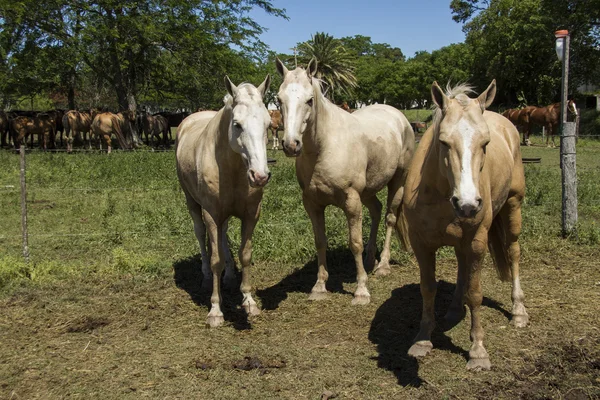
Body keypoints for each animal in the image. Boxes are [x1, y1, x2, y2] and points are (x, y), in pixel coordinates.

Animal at [176, 76, 272, 328]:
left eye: (269, 124)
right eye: (237, 124)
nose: (260, 176)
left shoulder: (251, 214)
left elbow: (244, 254)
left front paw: (249, 301)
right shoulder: (211, 213)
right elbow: (216, 259)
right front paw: (215, 311)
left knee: (223, 234)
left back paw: (228, 277)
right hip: (192, 203)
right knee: (201, 234)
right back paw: (206, 277)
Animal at [276, 58, 412, 304]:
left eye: (310, 100)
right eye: (278, 99)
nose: (291, 145)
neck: (325, 145)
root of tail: (399, 117)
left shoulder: (351, 201)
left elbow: (354, 243)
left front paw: (361, 290)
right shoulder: (312, 204)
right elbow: (320, 241)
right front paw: (319, 287)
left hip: (398, 181)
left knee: (389, 217)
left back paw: (383, 265)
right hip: (369, 190)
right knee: (376, 211)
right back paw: (370, 259)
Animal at [404, 81, 528, 372]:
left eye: (485, 142)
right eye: (443, 142)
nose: (468, 204)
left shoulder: (476, 242)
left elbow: (475, 293)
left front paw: (478, 351)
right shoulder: (421, 243)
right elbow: (428, 287)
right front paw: (423, 339)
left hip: (513, 206)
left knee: (513, 252)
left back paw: (518, 311)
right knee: (462, 265)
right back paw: (453, 310)